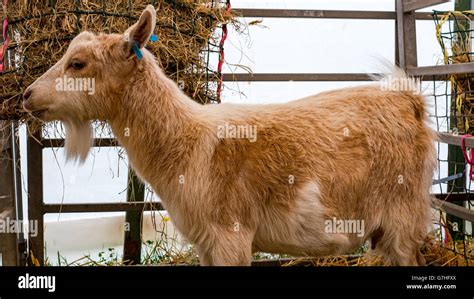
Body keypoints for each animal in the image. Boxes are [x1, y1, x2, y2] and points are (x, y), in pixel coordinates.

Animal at [23, 5, 436, 268]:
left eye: (78, 63)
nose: (27, 95)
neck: (189, 143)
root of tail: (408, 100)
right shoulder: (206, 242)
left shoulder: (230, 236)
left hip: (403, 215)